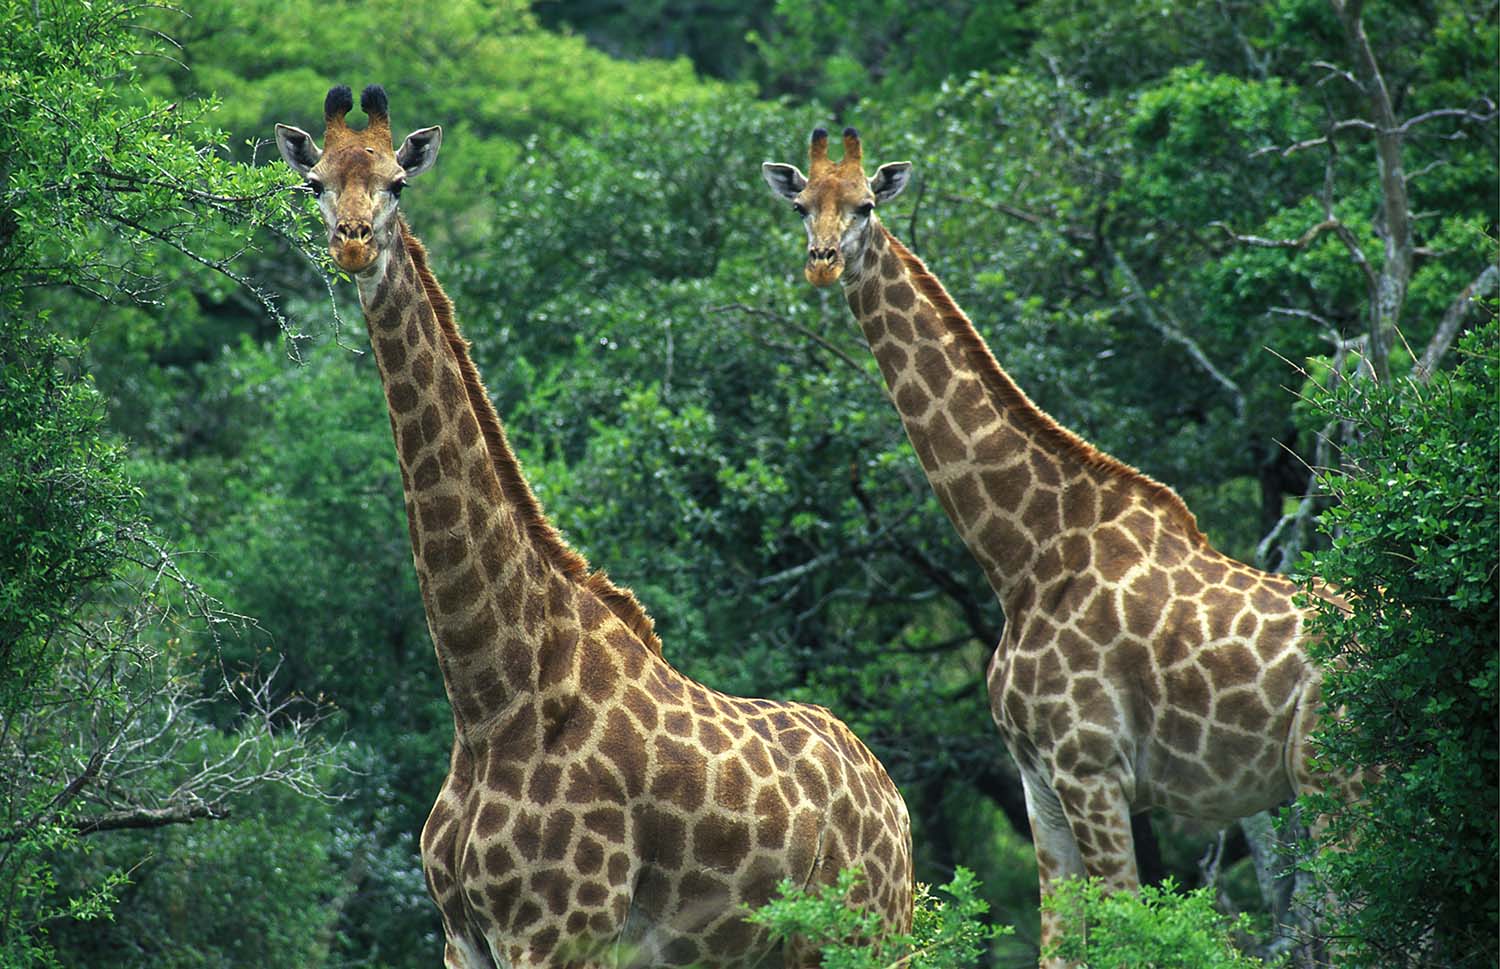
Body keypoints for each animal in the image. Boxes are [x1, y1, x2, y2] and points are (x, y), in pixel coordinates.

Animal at [275, 89, 912, 968]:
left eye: (399, 182)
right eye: (316, 184)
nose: (354, 242)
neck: (491, 696)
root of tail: (894, 800)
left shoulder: (554, 933)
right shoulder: (462, 938)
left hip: (873, 934)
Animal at [763, 128, 1341, 959]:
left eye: (868, 205)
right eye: (802, 204)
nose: (823, 260)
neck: (1024, 556)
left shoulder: (1092, 766)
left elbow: (1127, 930)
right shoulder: (1037, 779)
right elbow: (1059, 941)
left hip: (1335, 775)